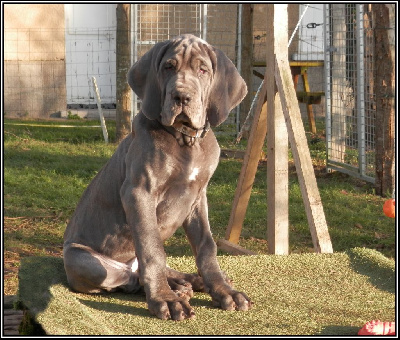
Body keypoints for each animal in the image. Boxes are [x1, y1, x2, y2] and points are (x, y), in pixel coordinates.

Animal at [63, 34, 252, 322]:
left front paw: (223, 289)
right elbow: (152, 250)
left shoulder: (198, 198)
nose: (181, 96)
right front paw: (165, 299)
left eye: (202, 70)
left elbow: (207, 247)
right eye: (168, 67)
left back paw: (188, 281)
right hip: (84, 261)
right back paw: (174, 289)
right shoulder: (139, 193)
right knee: (132, 277)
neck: (186, 140)